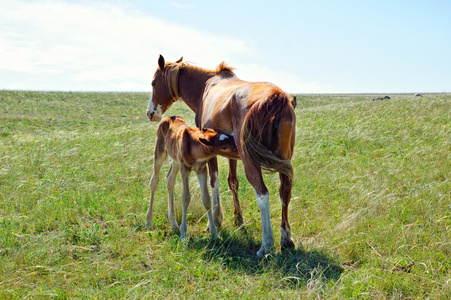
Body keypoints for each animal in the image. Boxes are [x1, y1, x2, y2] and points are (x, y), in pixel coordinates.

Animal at [147, 54, 298, 255]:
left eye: (154, 83)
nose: (150, 113)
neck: (206, 86)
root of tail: (276, 98)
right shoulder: (231, 154)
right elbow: (232, 181)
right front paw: (238, 219)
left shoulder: (210, 150)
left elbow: (214, 182)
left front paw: (216, 220)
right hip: (284, 159)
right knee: (285, 190)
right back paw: (285, 237)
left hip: (251, 161)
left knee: (262, 193)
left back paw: (266, 244)